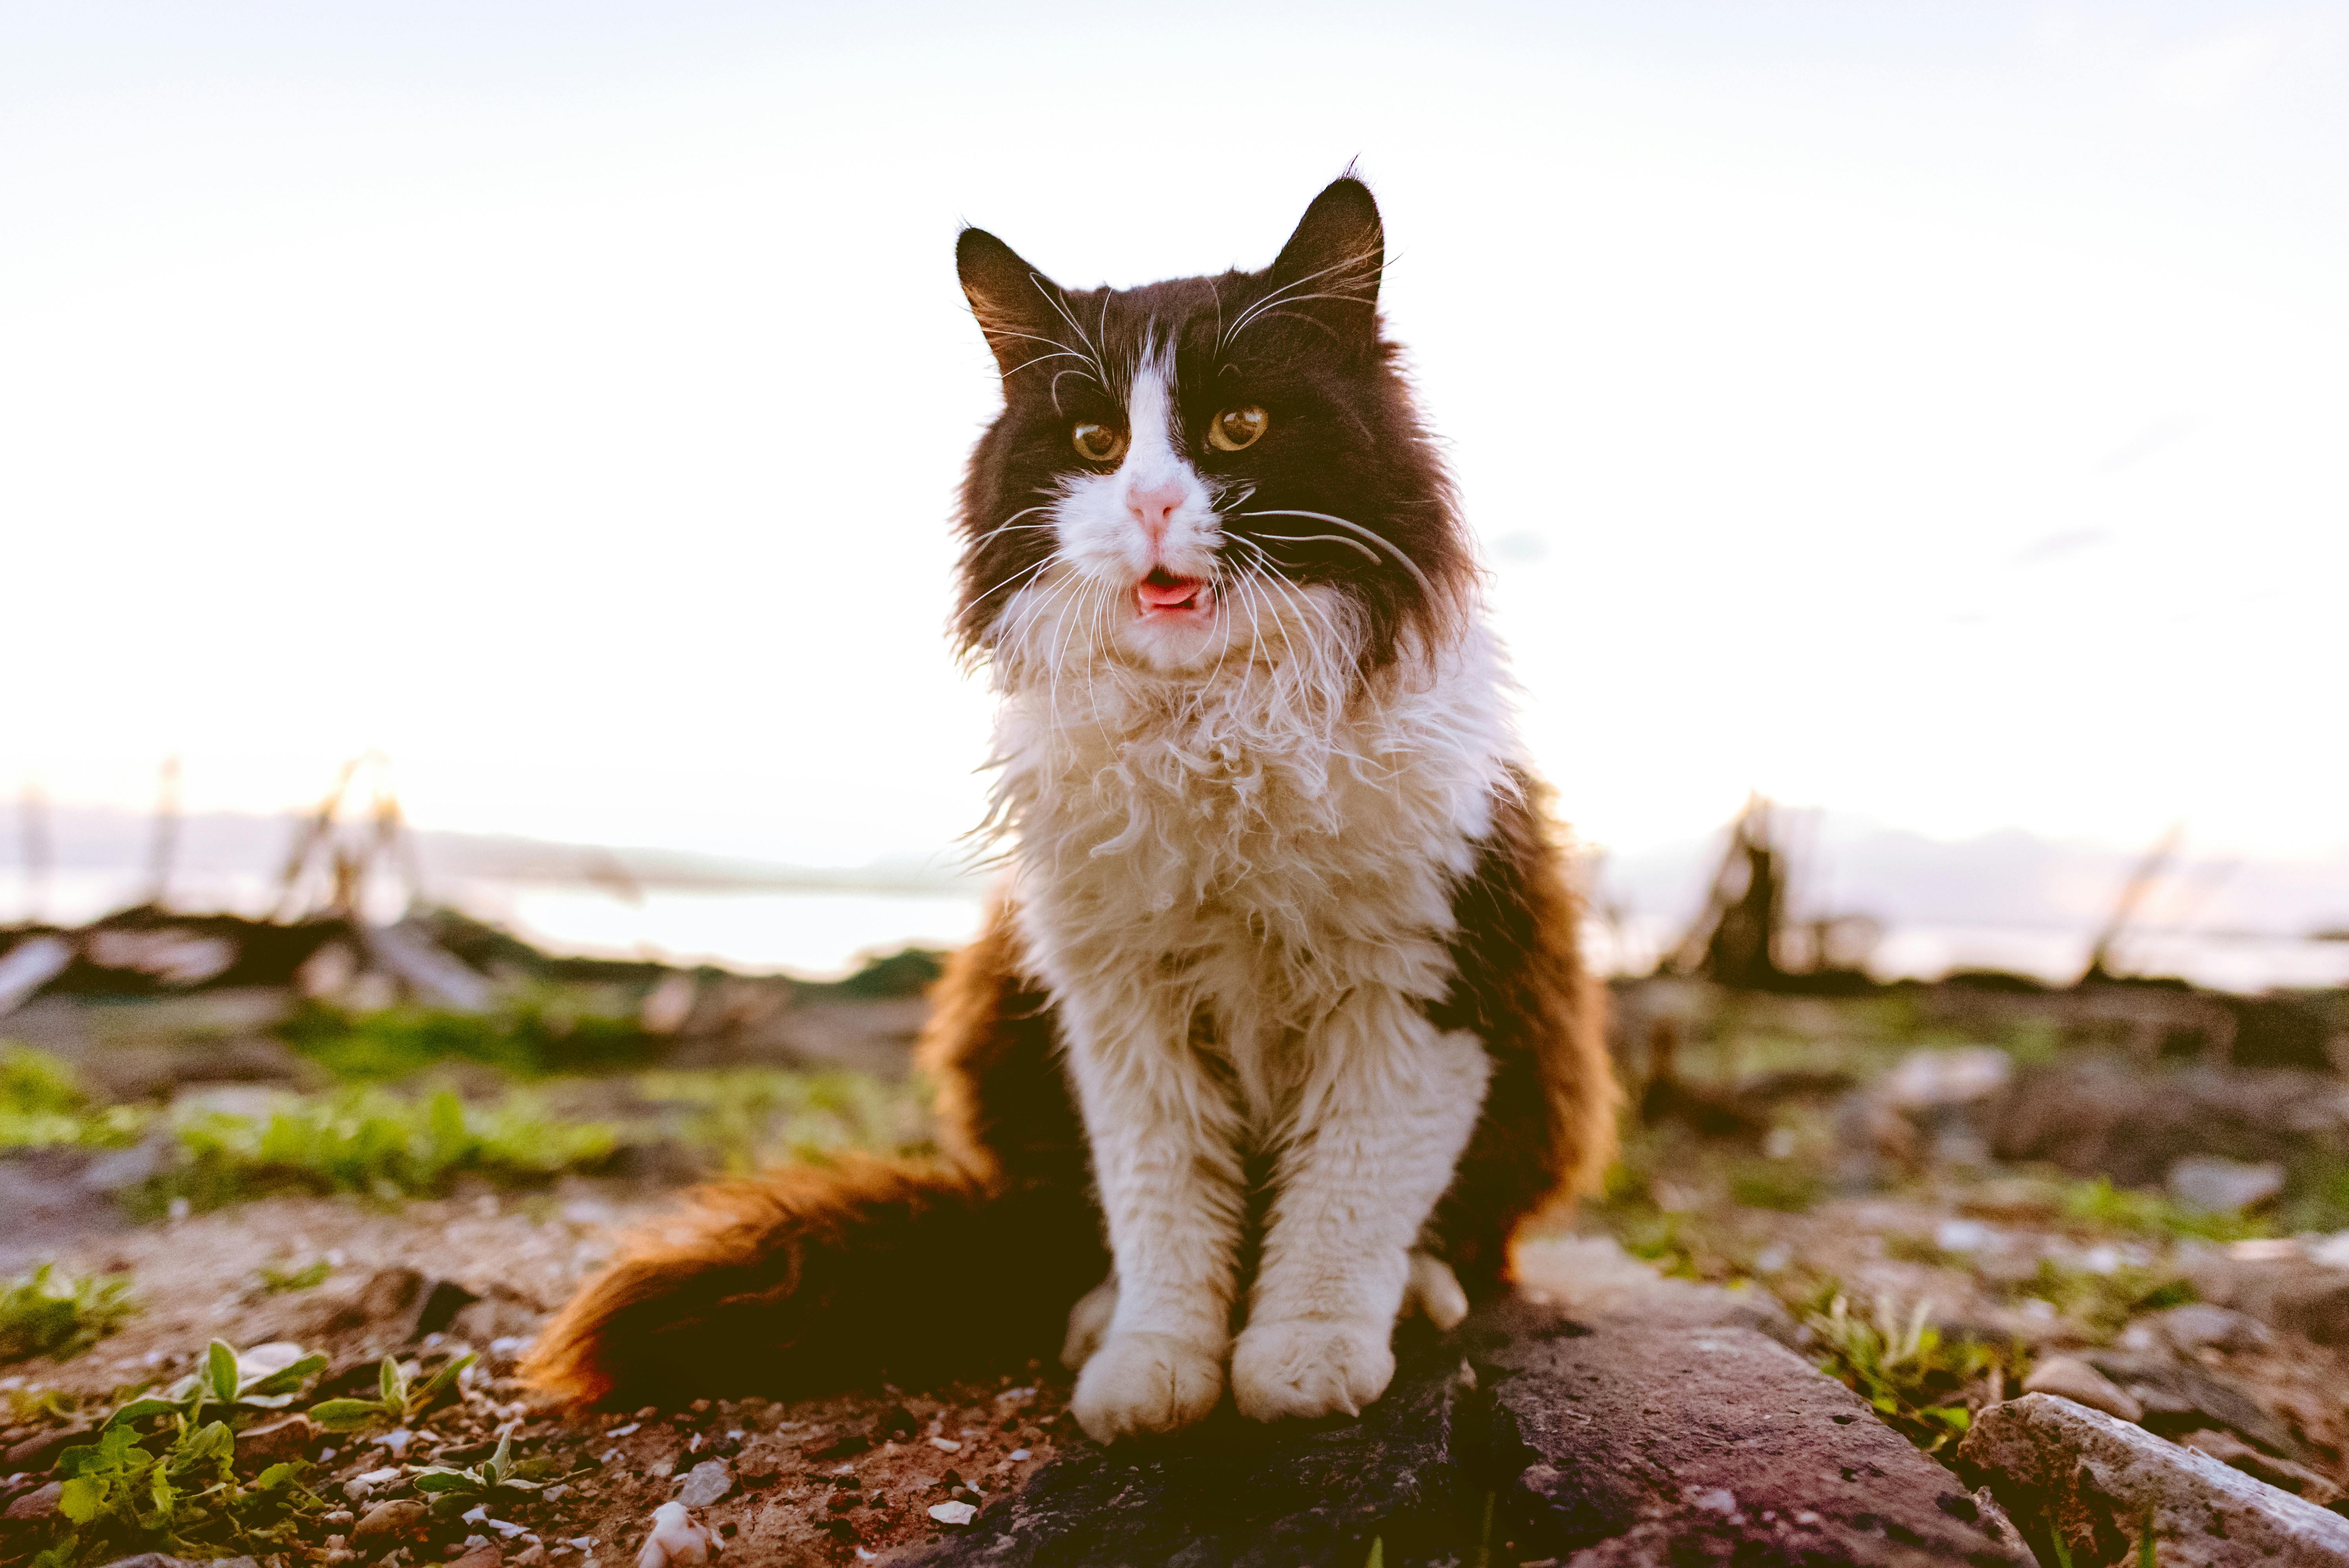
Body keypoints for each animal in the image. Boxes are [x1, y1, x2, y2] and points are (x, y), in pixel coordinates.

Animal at [524, 177, 1616, 1436]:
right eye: (1096, 443)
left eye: (1238, 426)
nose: (1147, 503)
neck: (1212, 731)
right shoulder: (1121, 1004)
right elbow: (1161, 1207)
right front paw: (1155, 1365)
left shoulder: (1417, 986)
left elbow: (1344, 1199)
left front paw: (1301, 1358)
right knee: (1064, 1224)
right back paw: (1096, 1315)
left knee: (1466, 1233)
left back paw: (1422, 1294)